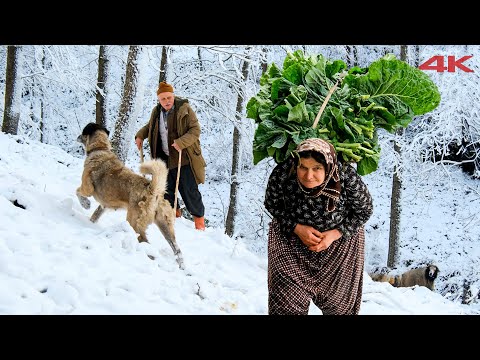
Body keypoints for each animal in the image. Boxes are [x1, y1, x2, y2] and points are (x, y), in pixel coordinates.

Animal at [76, 122, 185, 268]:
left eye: (83, 132)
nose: (78, 137)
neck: (100, 148)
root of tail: (153, 190)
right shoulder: (104, 205)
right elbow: (95, 215)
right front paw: (90, 222)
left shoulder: (87, 187)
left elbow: (78, 192)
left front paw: (85, 204)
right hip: (165, 226)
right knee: (177, 250)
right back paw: (181, 266)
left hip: (134, 222)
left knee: (144, 242)